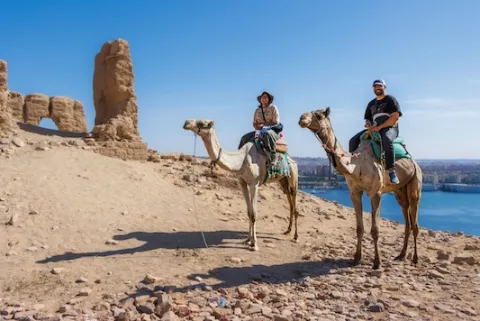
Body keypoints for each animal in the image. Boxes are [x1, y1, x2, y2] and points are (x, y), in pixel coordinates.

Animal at [182, 118, 298, 250]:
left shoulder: (254, 184)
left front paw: (254, 244)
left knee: (294, 202)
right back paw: (287, 230)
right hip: (282, 180)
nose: (186, 123)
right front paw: (247, 240)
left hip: (293, 174)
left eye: (202, 123)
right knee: (289, 200)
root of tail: (291, 159)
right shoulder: (242, 183)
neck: (241, 160)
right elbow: (248, 212)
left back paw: (295, 236)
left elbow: (254, 213)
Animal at [298, 107, 422, 268]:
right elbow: (359, 228)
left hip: (415, 182)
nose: (302, 119)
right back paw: (401, 255)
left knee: (415, 221)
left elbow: (375, 230)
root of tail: (413, 161)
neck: (356, 165)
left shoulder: (376, 193)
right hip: (399, 191)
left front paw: (377, 262)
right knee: (406, 217)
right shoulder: (354, 192)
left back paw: (415, 259)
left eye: (318, 115)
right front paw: (356, 258)